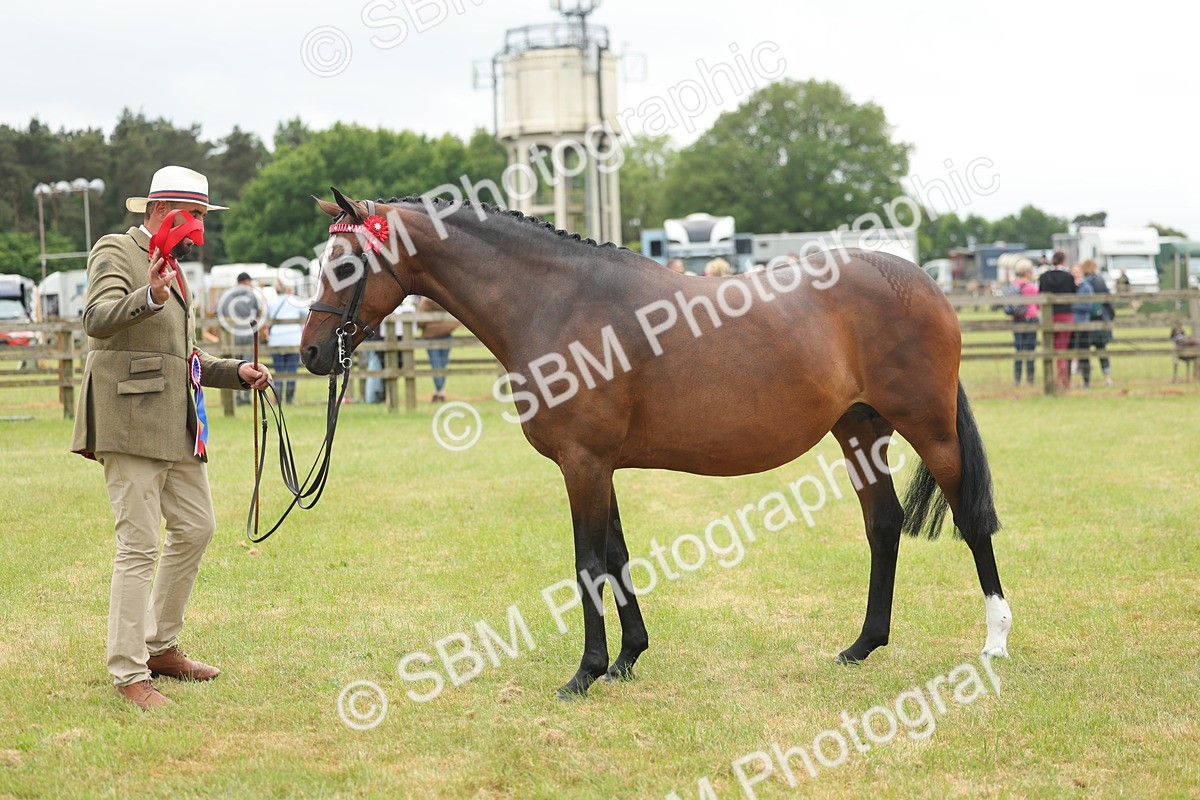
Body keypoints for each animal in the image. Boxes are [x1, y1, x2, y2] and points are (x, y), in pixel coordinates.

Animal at [300, 189, 1012, 698]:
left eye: (345, 264)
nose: (310, 353)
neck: (559, 302)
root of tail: (921, 281)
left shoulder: (583, 465)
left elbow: (588, 562)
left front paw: (584, 673)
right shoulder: (598, 466)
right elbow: (617, 556)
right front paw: (626, 659)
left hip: (930, 430)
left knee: (972, 521)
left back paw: (995, 642)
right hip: (860, 430)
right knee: (884, 525)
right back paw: (862, 646)